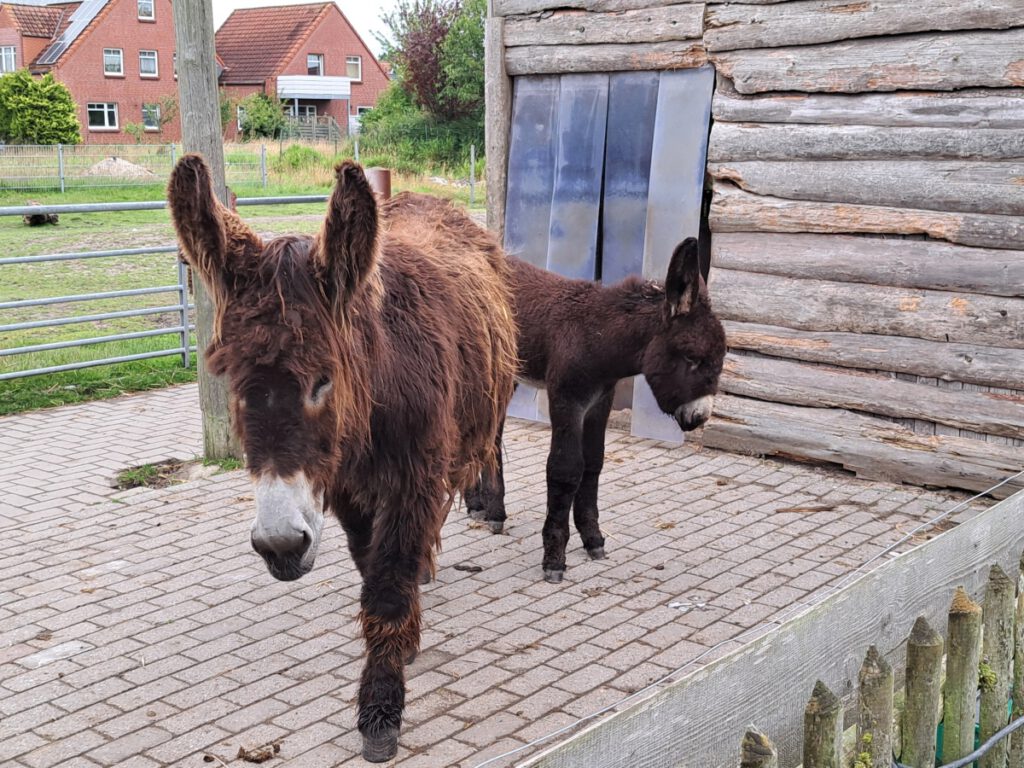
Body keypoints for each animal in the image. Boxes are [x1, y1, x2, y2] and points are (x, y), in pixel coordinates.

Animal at [172, 156, 520, 765]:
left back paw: (490, 506)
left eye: (321, 381)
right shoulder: (347, 490)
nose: (280, 547)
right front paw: (403, 639)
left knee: (490, 444)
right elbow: (371, 563)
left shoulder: (412, 479)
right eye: (235, 383)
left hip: (492, 392)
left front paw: (380, 711)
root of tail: (430, 202)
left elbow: (386, 584)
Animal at [468, 240, 724, 581]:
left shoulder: (601, 400)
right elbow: (565, 470)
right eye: (692, 358)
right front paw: (554, 558)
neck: (596, 336)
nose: (699, 418)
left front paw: (593, 539)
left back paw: (487, 507)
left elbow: (593, 465)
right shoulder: (567, 398)